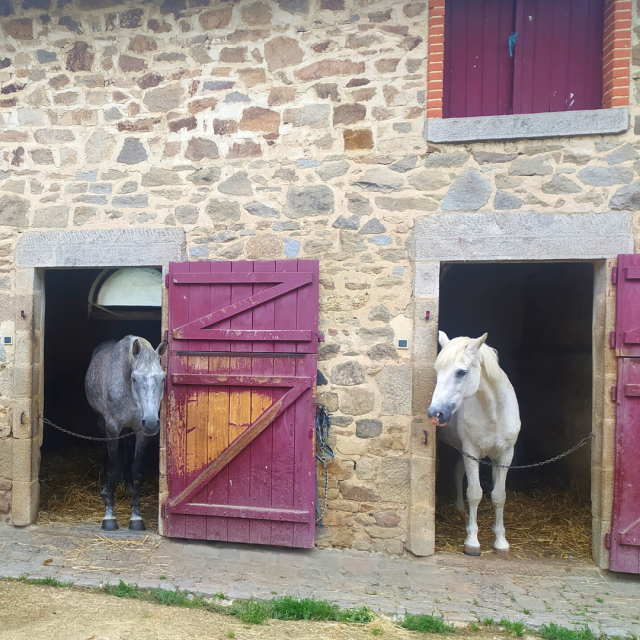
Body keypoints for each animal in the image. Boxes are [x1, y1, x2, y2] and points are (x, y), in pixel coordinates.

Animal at [85, 336, 168, 528]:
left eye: (162, 378)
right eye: (135, 378)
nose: (151, 423)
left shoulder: (140, 431)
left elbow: (137, 468)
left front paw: (136, 517)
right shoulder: (113, 427)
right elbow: (113, 468)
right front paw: (109, 515)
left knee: (128, 449)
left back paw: (128, 484)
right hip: (102, 422)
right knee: (105, 452)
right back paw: (105, 487)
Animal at [424, 332, 520, 556]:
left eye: (461, 372)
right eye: (436, 371)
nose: (435, 414)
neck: (495, 413)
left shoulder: (504, 456)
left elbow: (498, 495)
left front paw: (501, 542)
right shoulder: (472, 452)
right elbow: (475, 493)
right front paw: (472, 542)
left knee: (458, 473)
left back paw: (460, 510)